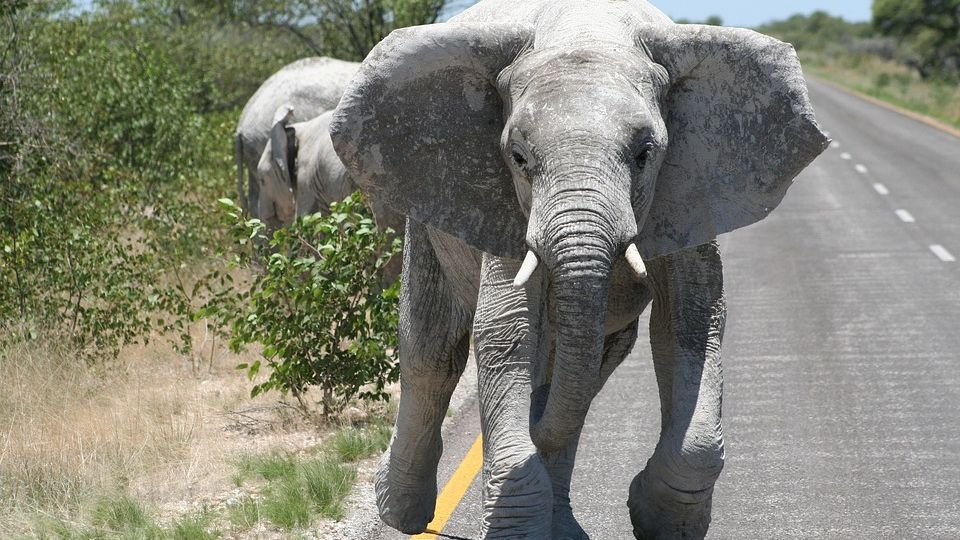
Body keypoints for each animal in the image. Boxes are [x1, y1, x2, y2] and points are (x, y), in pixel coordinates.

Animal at [328, 2, 824, 536]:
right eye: (518, 158)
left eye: (645, 155)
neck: (587, 29)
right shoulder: (502, 203)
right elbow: (507, 330)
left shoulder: (691, 189)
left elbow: (692, 319)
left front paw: (660, 520)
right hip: (424, 214)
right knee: (431, 352)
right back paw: (401, 512)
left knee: (587, 376)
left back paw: (561, 521)